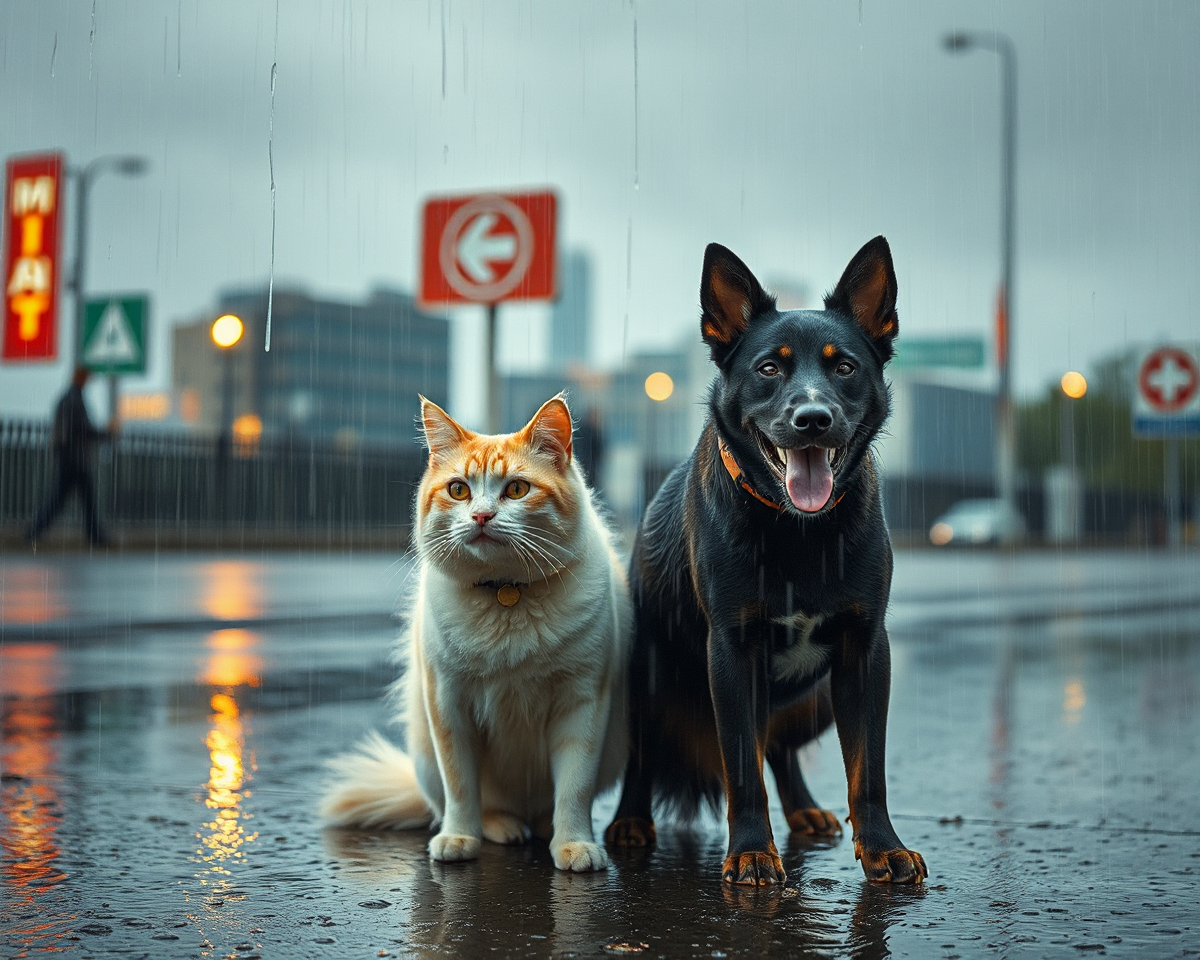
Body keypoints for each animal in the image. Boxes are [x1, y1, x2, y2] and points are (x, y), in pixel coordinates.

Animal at [324, 393, 633, 873]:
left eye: (517, 490)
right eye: (458, 490)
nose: (482, 516)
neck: (506, 593)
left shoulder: (582, 704)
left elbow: (574, 788)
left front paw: (575, 845)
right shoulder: (449, 705)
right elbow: (461, 786)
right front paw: (458, 838)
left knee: (544, 809)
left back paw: (540, 830)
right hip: (426, 751)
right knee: (481, 806)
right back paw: (502, 829)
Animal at [609, 237, 926, 883]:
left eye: (844, 367)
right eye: (769, 368)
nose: (813, 420)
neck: (798, 532)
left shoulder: (865, 651)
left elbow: (868, 771)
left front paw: (883, 847)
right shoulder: (732, 651)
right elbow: (742, 769)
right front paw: (753, 851)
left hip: (817, 701)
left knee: (778, 747)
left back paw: (803, 808)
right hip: (641, 680)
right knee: (648, 754)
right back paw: (630, 820)